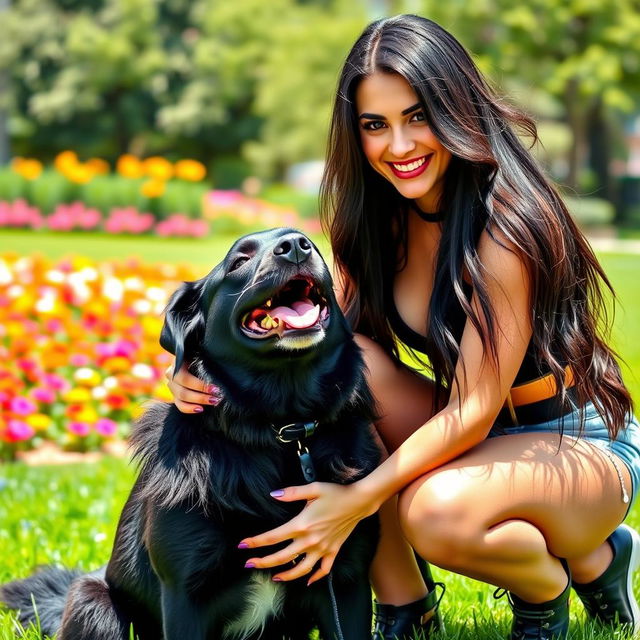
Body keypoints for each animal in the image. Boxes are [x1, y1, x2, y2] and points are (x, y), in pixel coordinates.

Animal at [1, 230, 380, 640]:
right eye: (239, 261)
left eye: (313, 245)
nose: (295, 246)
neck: (282, 429)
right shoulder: (185, 592)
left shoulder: (345, 580)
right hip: (95, 606)